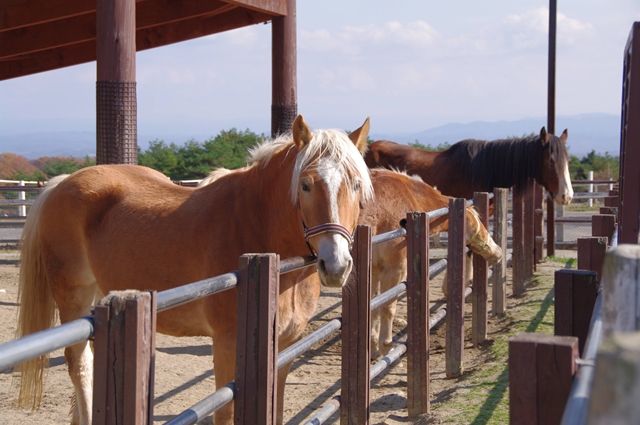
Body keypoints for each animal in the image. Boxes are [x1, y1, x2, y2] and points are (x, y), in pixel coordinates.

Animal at [15, 115, 374, 425]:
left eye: (357, 184)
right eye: (306, 185)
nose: (336, 264)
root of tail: (61, 183)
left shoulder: (285, 347)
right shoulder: (228, 345)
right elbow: (225, 413)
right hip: (72, 295)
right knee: (80, 364)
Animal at [359, 169, 502, 359]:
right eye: (476, 220)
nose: (498, 252)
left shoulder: (374, 269)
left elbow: (375, 305)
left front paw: (374, 349)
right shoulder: (395, 269)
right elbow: (388, 306)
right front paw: (387, 349)